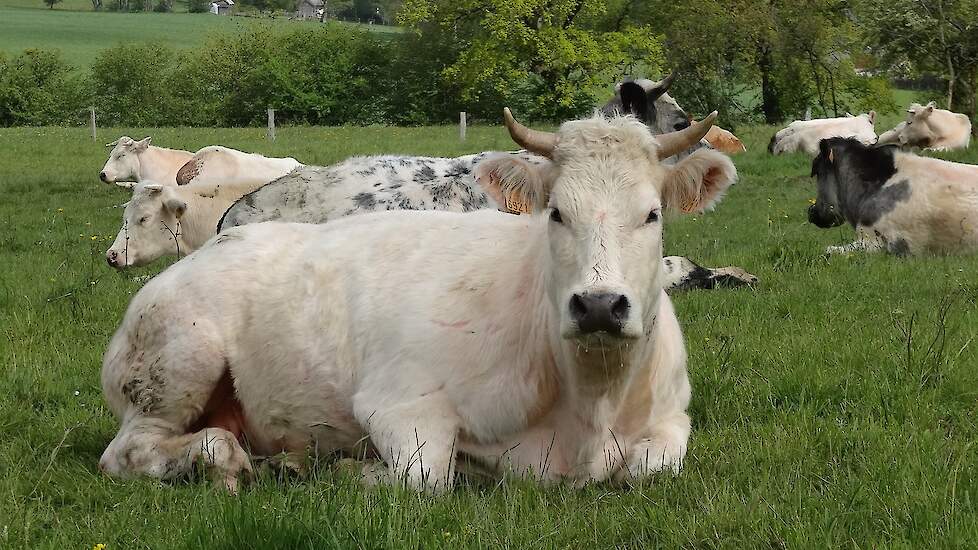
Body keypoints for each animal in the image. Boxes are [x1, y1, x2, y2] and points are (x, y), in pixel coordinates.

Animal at [99, 106, 736, 492]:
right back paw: (229, 459)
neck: (590, 401)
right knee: (131, 452)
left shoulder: (671, 419)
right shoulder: (398, 403)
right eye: (556, 212)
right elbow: (425, 475)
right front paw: (352, 469)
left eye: (652, 214)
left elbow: (651, 466)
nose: (600, 306)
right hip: (178, 360)